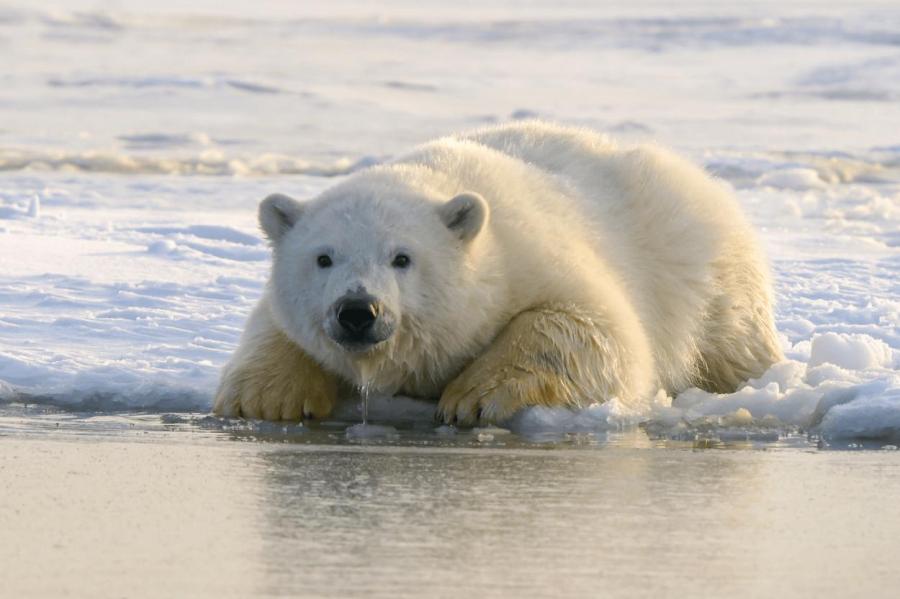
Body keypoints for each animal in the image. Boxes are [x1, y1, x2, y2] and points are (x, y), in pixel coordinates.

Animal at [211, 120, 780, 426]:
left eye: (402, 257)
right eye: (323, 257)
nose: (357, 311)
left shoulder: (534, 256)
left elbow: (595, 330)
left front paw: (471, 398)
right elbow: (272, 326)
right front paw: (267, 399)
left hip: (704, 270)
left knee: (732, 342)